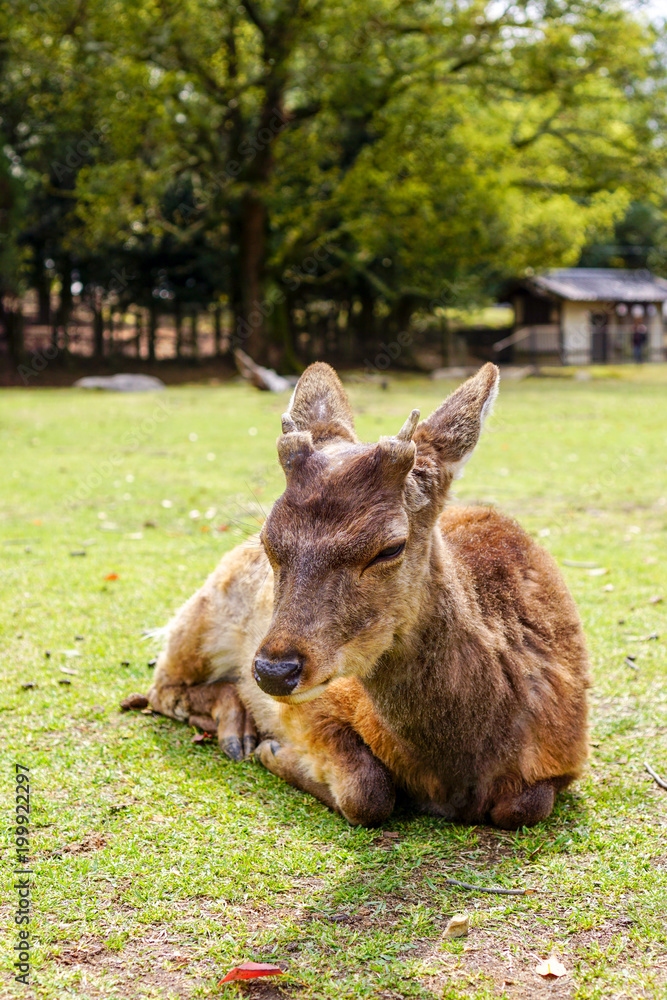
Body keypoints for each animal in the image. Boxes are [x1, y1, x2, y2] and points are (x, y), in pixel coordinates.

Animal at [122, 362, 590, 830]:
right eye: (268, 539)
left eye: (390, 547)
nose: (274, 671)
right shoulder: (314, 707)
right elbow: (368, 793)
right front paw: (273, 752)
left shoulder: (565, 756)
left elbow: (524, 806)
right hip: (200, 618)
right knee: (161, 685)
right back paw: (238, 730)